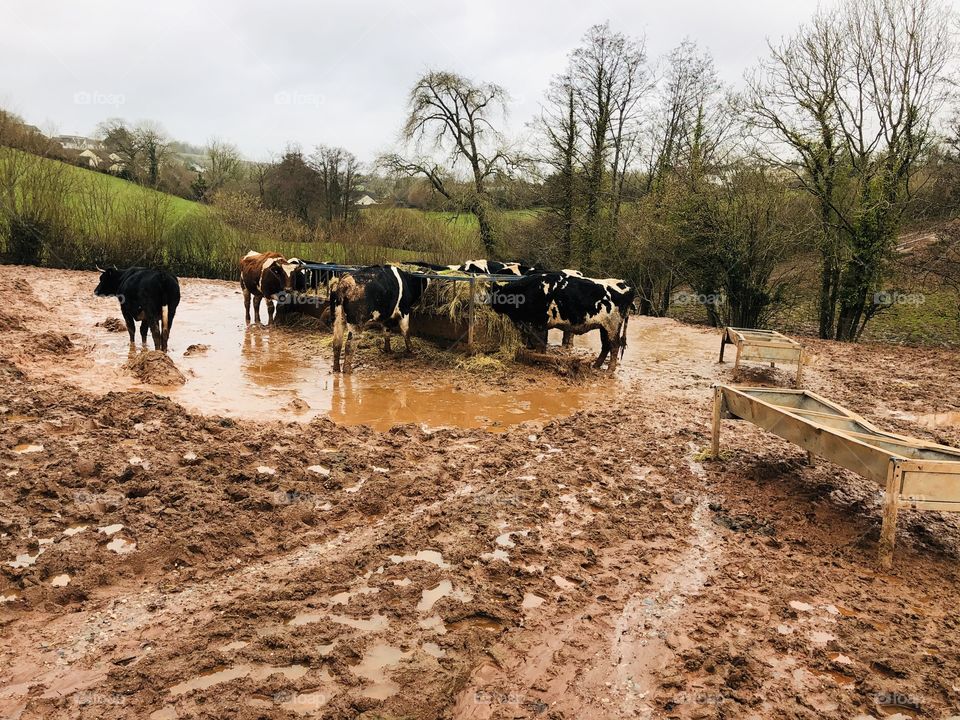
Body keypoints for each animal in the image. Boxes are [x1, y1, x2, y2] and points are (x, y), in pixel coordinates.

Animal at [488, 270, 636, 372]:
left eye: (498, 295)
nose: (490, 304)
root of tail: (626, 286)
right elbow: (540, 344)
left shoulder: (539, 323)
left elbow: (540, 344)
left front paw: (538, 360)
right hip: (603, 327)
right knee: (606, 345)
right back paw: (596, 365)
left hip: (612, 326)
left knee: (614, 345)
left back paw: (610, 370)